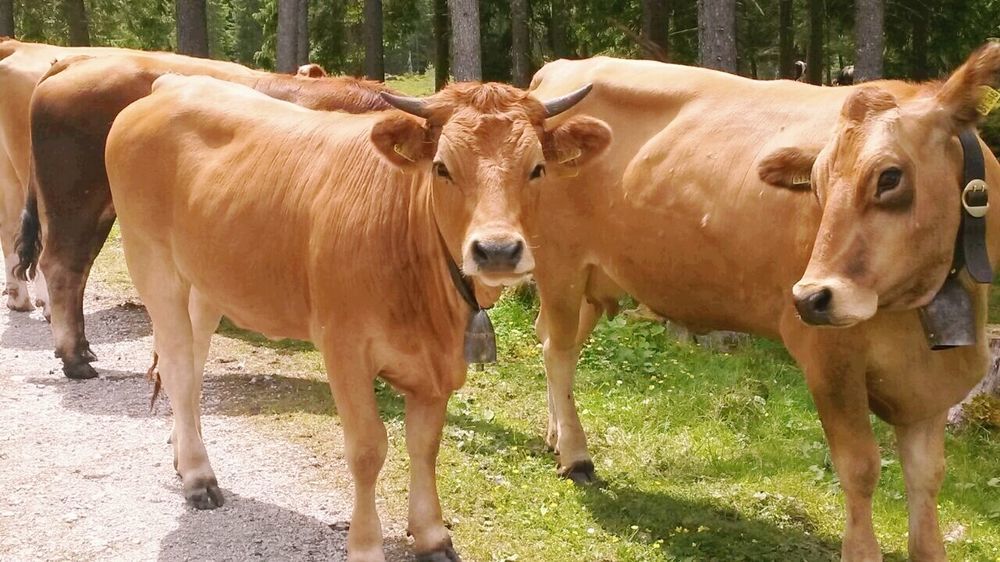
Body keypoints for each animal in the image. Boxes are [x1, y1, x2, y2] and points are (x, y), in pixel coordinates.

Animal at [105, 75, 612, 560]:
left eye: (537, 168)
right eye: (442, 167)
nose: (498, 250)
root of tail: (171, 84)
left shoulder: (438, 363)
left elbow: (424, 446)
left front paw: (431, 536)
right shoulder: (343, 347)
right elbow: (368, 449)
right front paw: (366, 544)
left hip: (207, 281)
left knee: (191, 366)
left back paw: (184, 455)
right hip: (152, 262)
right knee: (176, 365)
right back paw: (198, 476)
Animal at [524, 42, 1000, 556]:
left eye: (890, 177)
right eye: (816, 186)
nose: (811, 298)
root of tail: (561, 68)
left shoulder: (931, 385)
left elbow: (927, 479)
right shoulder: (829, 360)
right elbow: (861, 467)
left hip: (594, 280)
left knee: (556, 344)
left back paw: (555, 437)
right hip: (559, 263)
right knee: (558, 353)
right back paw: (575, 456)